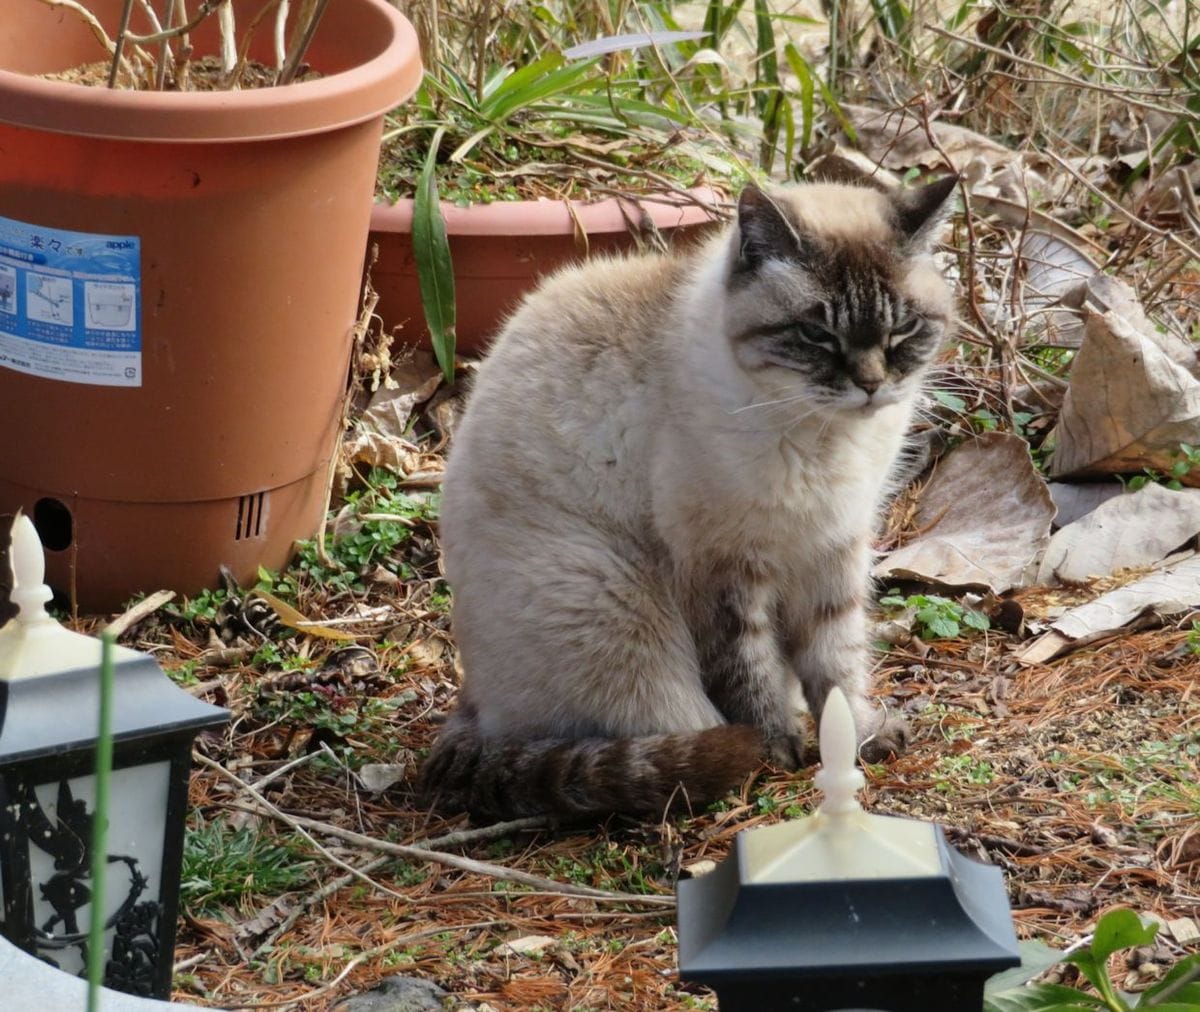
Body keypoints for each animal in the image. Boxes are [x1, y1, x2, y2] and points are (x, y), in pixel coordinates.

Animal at [420, 176, 955, 821]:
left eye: (904, 330)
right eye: (816, 333)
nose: (871, 386)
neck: (825, 435)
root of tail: (471, 706)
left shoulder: (834, 546)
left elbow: (838, 666)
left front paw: (856, 736)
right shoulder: (724, 566)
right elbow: (747, 672)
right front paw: (780, 748)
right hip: (614, 602)